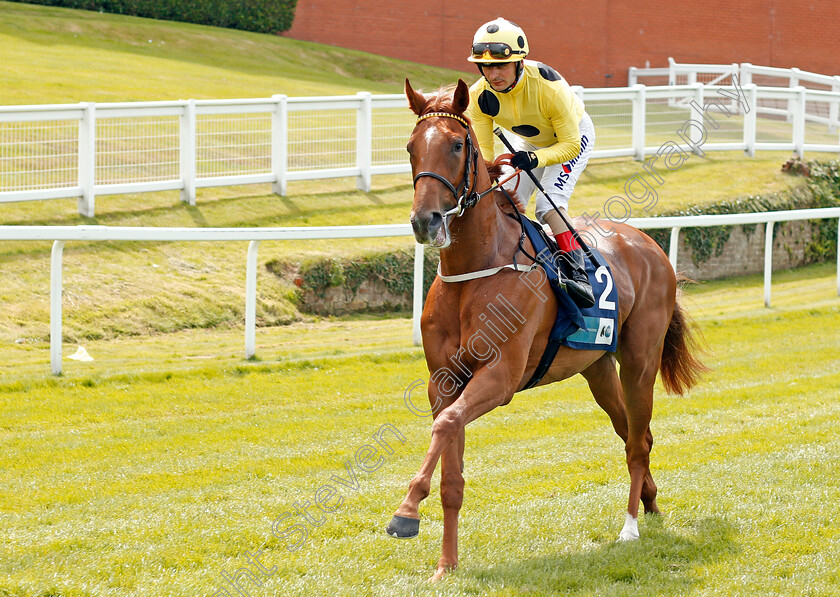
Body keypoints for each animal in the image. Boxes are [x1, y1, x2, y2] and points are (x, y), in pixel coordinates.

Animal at [388, 77, 708, 580]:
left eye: (457, 144)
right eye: (410, 148)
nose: (426, 221)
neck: (474, 270)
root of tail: (649, 243)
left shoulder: (500, 378)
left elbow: (446, 424)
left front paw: (405, 512)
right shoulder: (445, 381)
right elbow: (450, 463)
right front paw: (446, 565)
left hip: (639, 361)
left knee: (638, 441)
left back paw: (630, 526)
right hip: (598, 369)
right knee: (631, 433)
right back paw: (651, 503)